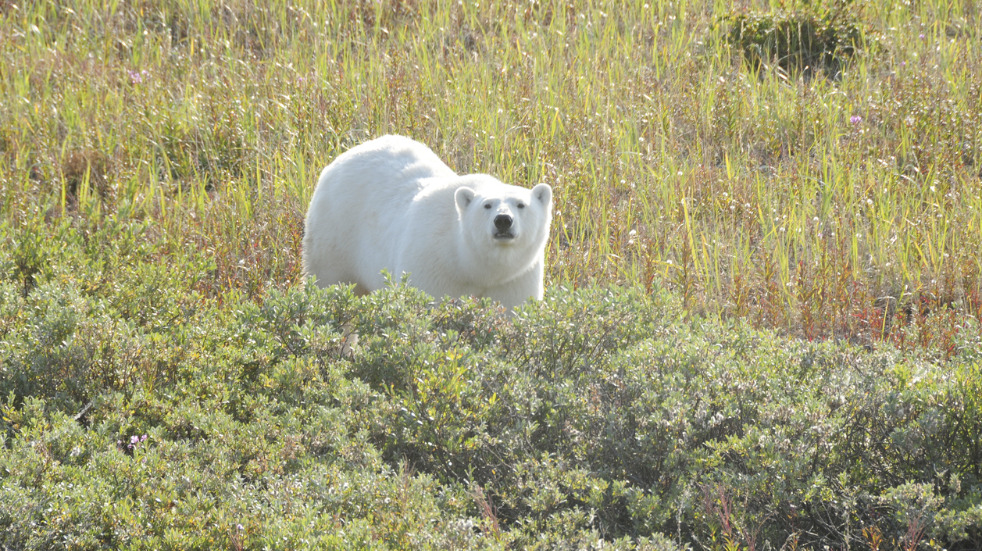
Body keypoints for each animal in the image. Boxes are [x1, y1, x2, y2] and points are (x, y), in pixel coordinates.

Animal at [302, 136, 552, 312]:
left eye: (521, 204)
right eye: (487, 205)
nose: (503, 221)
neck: (469, 265)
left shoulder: (515, 279)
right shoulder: (433, 265)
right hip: (335, 233)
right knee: (330, 284)